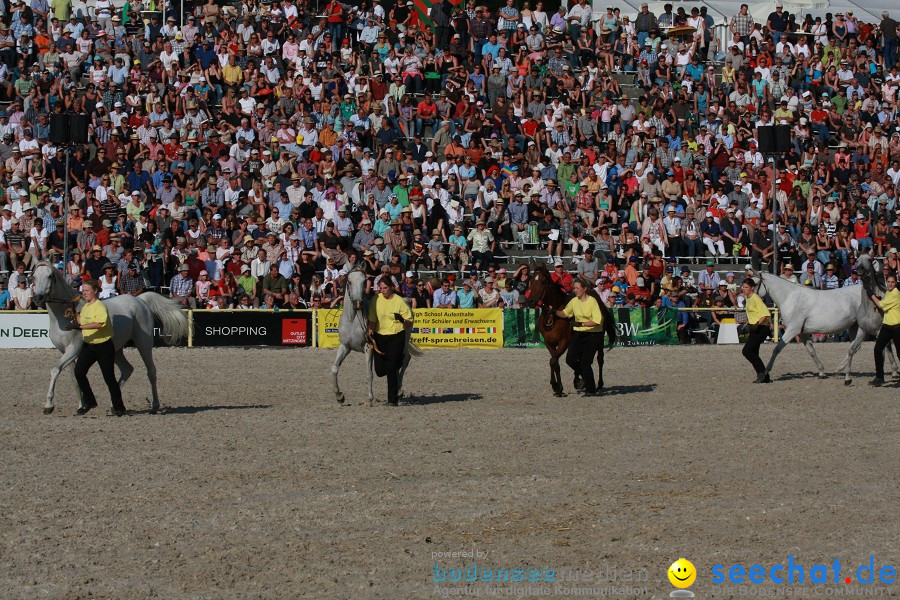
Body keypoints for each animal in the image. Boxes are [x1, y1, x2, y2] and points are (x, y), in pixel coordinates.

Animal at [32, 260, 192, 414]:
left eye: (49, 276)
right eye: (34, 277)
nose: (38, 297)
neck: (63, 315)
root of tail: (140, 300)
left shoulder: (73, 349)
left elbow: (54, 370)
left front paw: (49, 405)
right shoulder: (65, 351)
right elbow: (74, 379)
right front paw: (81, 406)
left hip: (143, 343)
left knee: (151, 371)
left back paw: (154, 406)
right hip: (116, 350)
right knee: (127, 369)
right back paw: (114, 406)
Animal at [330, 270, 418, 406]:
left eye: (364, 281)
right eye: (349, 281)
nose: (357, 303)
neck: (353, 320)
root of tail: (406, 301)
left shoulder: (369, 347)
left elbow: (369, 373)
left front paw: (370, 399)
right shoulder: (345, 346)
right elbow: (334, 368)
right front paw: (339, 396)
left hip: (403, 342)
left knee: (404, 359)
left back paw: (398, 392)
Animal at [524, 264, 616, 396]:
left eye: (542, 282)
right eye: (530, 281)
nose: (530, 301)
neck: (553, 316)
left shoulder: (564, 342)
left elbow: (553, 361)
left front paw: (557, 386)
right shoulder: (549, 343)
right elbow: (555, 362)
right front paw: (558, 387)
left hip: (599, 340)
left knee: (599, 359)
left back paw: (598, 383)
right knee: (579, 358)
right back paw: (577, 380)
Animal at [752, 268, 900, 384]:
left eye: (754, 283)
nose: (748, 297)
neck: (791, 298)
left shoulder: (792, 330)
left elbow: (776, 349)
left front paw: (763, 374)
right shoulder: (802, 333)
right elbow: (811, 351)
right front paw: (822, 372)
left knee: (884, 344)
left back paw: (893, 372)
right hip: (855, 326)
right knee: (857, 347)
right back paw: (840, 370)